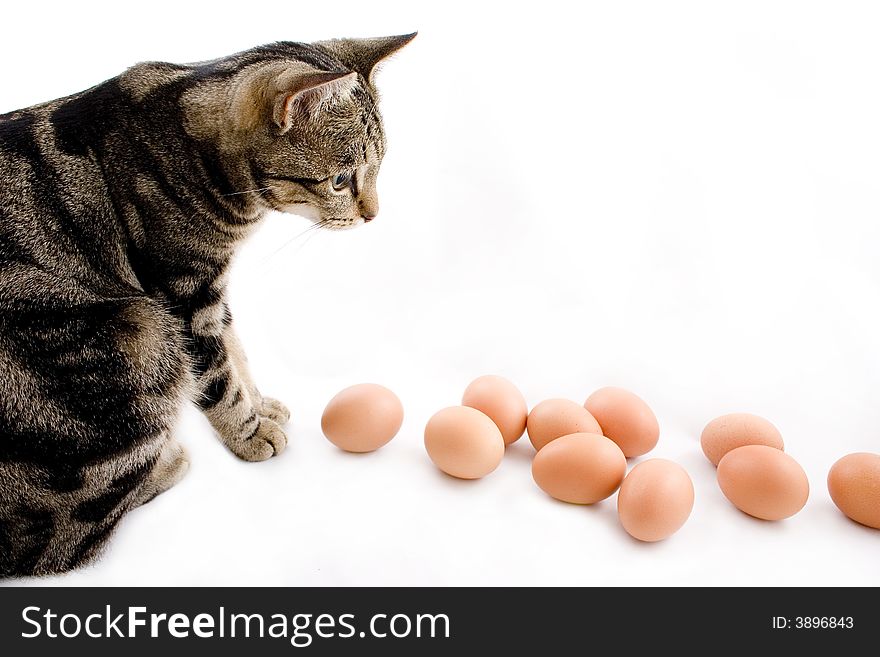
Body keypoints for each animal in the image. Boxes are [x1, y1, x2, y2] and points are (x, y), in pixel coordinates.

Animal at [0, 33, 416, 576]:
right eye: (341, 180)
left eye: (378, 169)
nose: (374, 215)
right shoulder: (182, 299)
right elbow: (218, 378)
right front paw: (249, 433)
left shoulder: (212, 292)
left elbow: (237, 351)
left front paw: (259, 404)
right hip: (140, 335)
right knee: (60, 542)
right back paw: (166, 464)